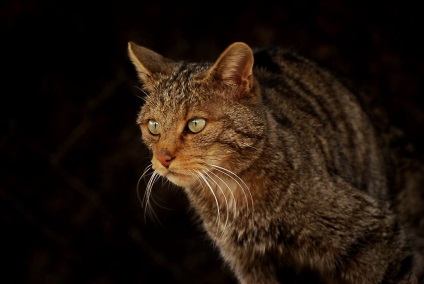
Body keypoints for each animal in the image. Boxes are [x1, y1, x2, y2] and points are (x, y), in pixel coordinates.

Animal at [126, 40, 424, 284]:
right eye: (153, 126)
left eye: (195, 124)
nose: (162, 158)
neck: (234, 192)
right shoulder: (248, 263)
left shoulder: (378, 233)